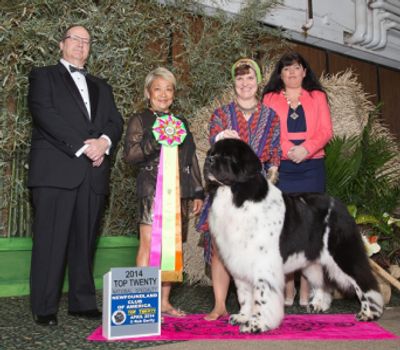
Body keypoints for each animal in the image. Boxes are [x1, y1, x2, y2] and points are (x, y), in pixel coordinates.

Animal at [205, 138, 382, 332]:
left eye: (227, 156)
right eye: (211, 153)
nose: (208, 160)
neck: (236, 196)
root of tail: (341, 205)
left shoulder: (263, 263)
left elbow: (261, 295)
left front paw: (256, 324)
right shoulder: (240, 260)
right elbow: (244, 294)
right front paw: (242, 317)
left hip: (343, 254)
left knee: (364, 282)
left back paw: (368, 314)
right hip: (313, 261)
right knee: (322, 282)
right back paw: (318, 304)